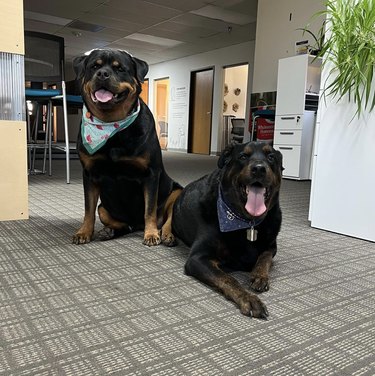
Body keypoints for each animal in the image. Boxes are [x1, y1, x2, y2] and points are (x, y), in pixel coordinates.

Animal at [71, 47, 182, 247]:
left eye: (120, 68)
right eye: (94, 66)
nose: (103, 74)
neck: (112, 125)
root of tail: (137, 224)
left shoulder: (151, 174)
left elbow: (149, 210)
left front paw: (151, 234)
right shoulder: (89, 174)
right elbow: (88, 209)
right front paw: (84, 232)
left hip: (176, 193)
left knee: (168, 219)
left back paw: (166, 235)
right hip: (104, 207)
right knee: (123, 224)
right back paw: (109, 231)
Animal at [172, 142, 284, 318]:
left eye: (271, 157)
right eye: (243, 156)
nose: (259, 168)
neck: (247, 222)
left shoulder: (271, 246)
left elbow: (264, 258)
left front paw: (259, 275)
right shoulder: (198, 258)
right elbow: (228, 279)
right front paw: (248, 298)